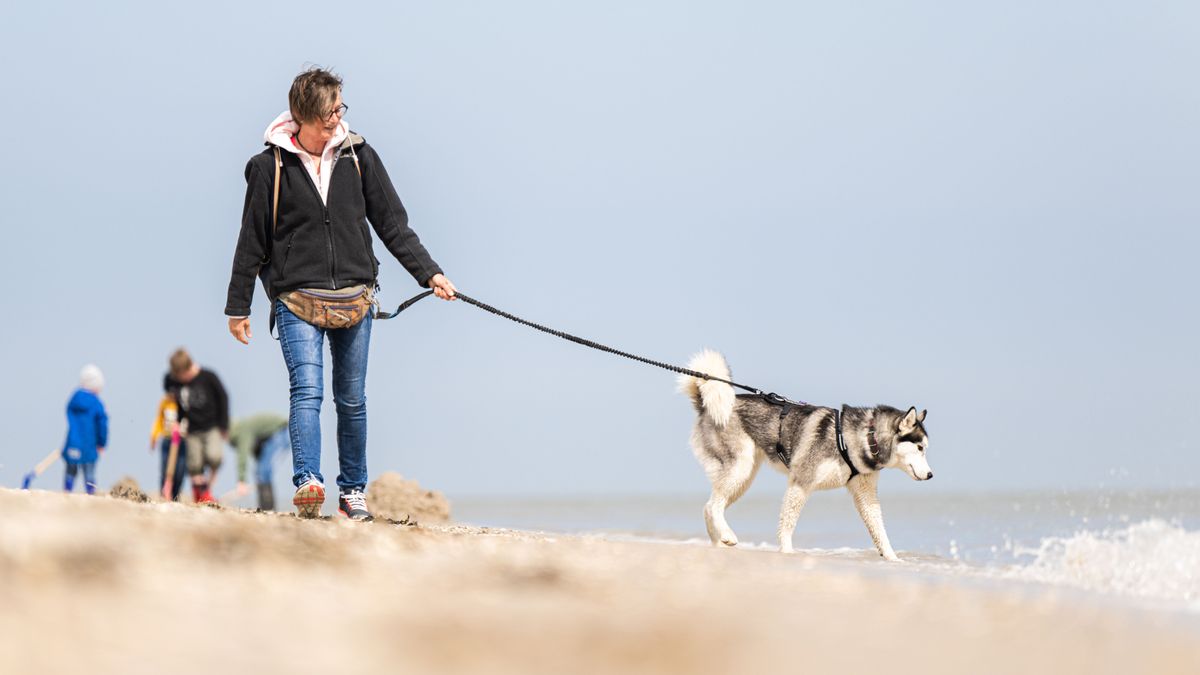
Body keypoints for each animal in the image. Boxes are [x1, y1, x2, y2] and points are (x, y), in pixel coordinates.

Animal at [681, 348, 931, 559]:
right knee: (713, 506)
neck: (864, 438)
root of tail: (704, 405)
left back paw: (718, 543)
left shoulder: (865, 494)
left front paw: (894, 559)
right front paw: (787, 552)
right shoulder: (800, 482)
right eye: (920, 448)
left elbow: (879, 531)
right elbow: (787, 523)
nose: (931, 475)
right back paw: (727, 536)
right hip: (739, 469)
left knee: (708, 507)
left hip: (744, 478)